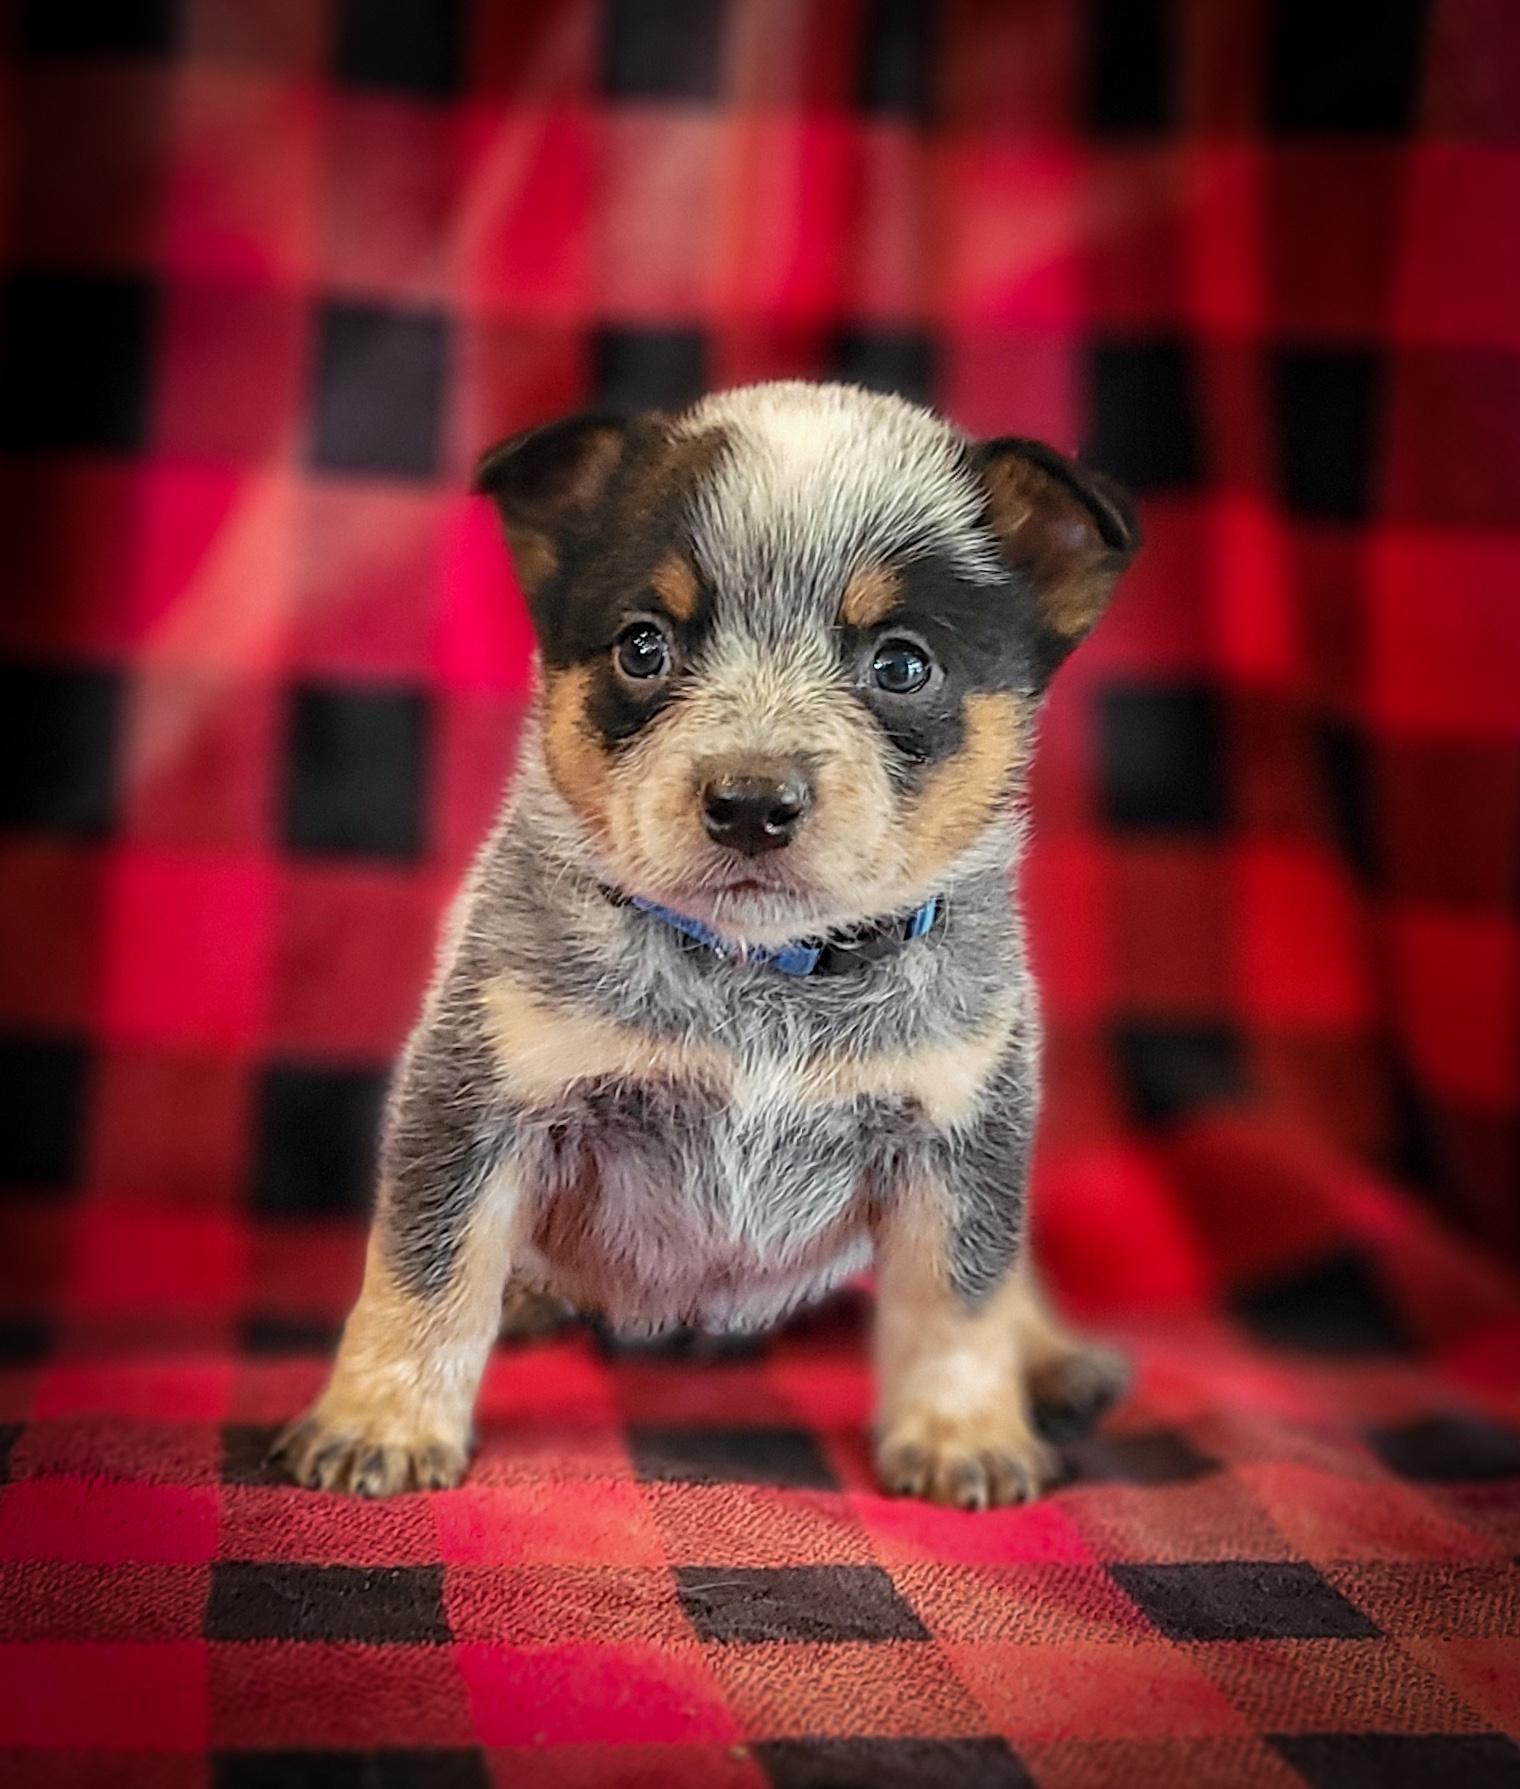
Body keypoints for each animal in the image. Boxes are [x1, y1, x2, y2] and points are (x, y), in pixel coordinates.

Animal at [273, 380, 1139, 1509]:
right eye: (644, 646)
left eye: (902, 662)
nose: (751, 801)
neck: (758, 973)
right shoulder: (480, 1089)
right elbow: (428, 1271)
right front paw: (377, 1421)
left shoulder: (959, 1121)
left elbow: (959, 1294)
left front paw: (965, 1433)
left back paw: (1055, 1359)